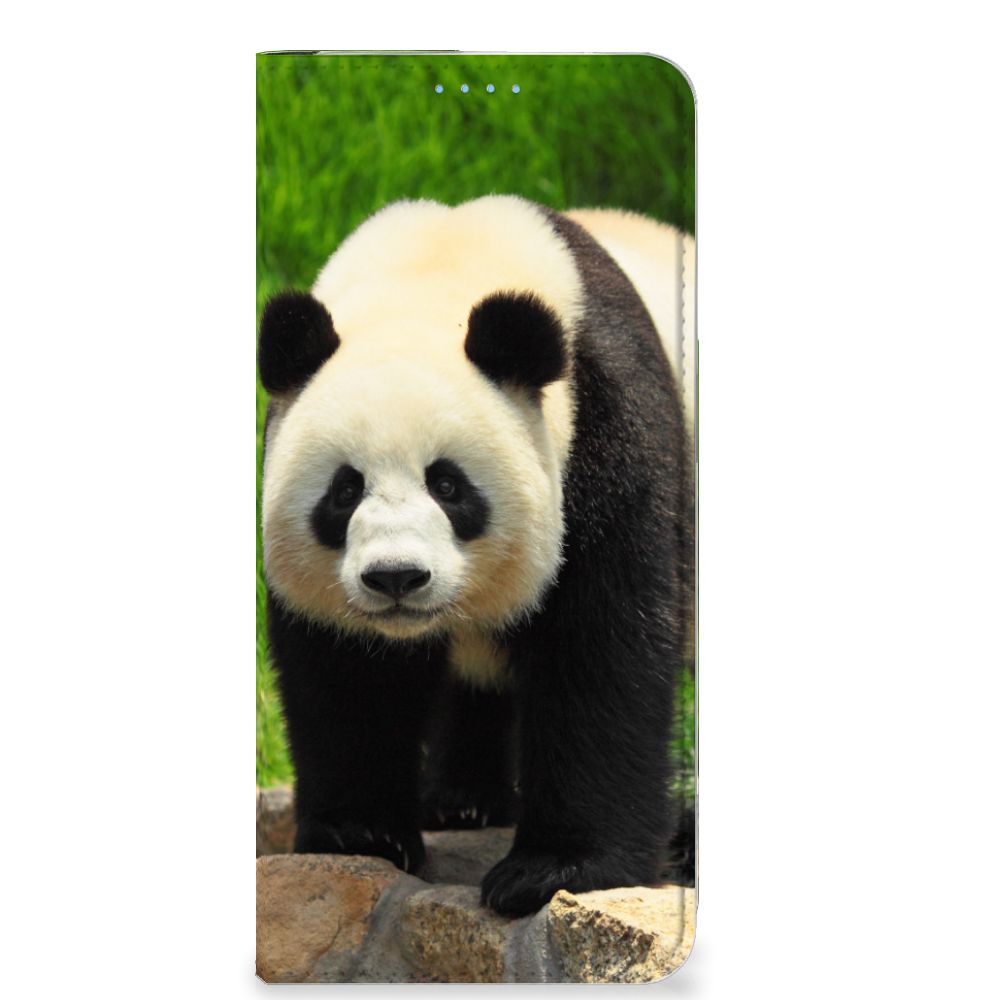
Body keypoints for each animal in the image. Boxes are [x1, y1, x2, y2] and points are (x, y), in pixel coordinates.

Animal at [258, 195, 694, 917]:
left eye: (448, 485)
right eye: (345, 490)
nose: (397, 578)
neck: (436, 269)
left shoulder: (608, 428)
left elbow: (601, 648)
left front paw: (554, 869)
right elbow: (348, 671)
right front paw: (362, 833)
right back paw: (462, 801)